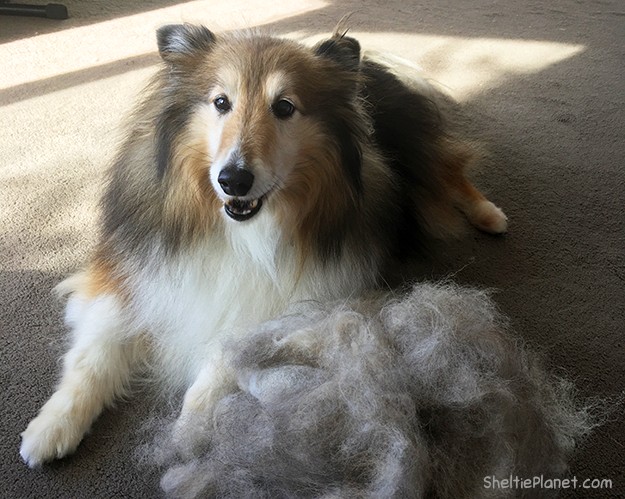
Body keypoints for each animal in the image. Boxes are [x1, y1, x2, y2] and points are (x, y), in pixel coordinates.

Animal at [19, 24, 508, 468]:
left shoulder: (307, 302)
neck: (242, 233)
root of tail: (372, 63)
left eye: (284, 107)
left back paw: (491, 215)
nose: (233, 180)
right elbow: (93, 357)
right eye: (221, 102)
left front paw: (187, 429)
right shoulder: (127, 276)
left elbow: (225, 354)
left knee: (454, 174)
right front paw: (49, 428)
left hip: (423, 158)